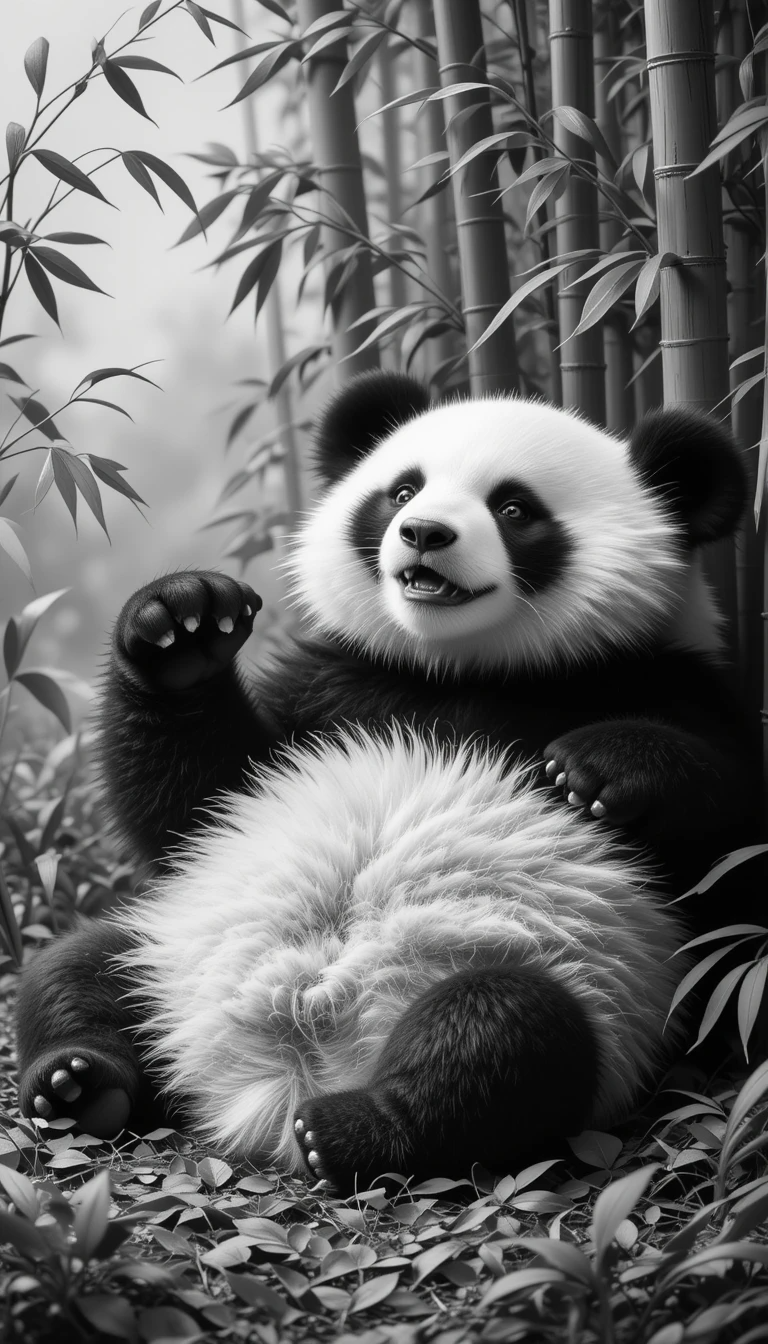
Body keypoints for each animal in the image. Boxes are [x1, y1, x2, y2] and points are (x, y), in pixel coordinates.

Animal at [16, 371, 752, 1194]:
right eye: (403, 490)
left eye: (515, 508)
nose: (425, 532)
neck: (462, 667)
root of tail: (280, 1073)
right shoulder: (332, 687)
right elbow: (198, 806)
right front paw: (183, 624)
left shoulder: (666, 679)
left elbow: (732, 854)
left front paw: (593, 766)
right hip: (169, 945)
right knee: (77, 968)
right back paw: (78, 1080)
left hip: (576, 980)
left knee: (507, 1038)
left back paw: (350, 1129)